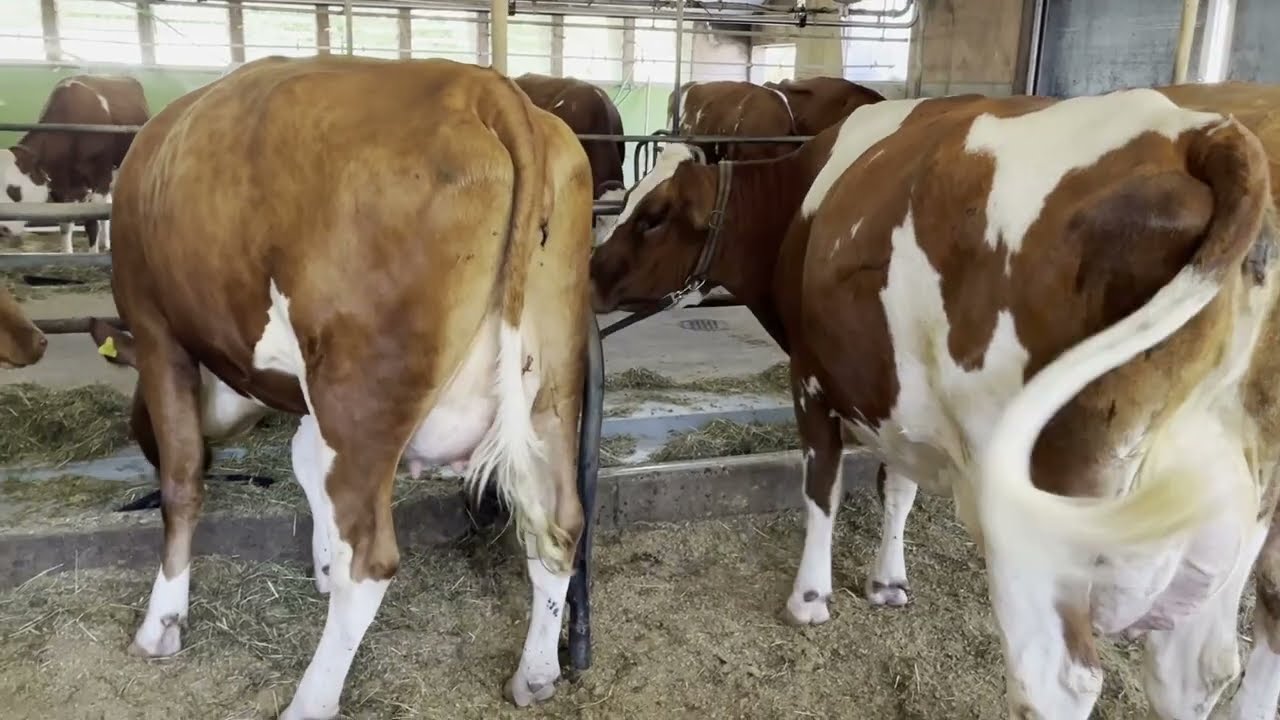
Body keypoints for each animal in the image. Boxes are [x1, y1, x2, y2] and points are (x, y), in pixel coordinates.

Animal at [0, 74, 149, 254]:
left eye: (14, 190)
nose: (2, 229)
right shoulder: (61, 187)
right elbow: (65, 222)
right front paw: (66, 253)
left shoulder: (99, 178)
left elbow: (92, 222)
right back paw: (105, 243)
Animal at [81, 54, 594, 719]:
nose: (134, 426)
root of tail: (479, 86)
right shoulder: (310, 393)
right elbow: (304, 461)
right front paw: (321, 563)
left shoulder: (157, 328)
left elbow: (183, 482)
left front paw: (161, 624)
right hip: (550, 383)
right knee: (557, 523)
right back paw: (533, 674)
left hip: (362, 388)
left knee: (371, 560)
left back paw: (311, 700)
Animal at [589, 89, 1279, 717]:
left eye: (652, 215)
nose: (589, 271)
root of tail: (1200, 133)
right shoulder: (899, 396)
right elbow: (899, 486)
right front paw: (888, 583)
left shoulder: (809, 376)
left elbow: (821, 486)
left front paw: (809, 600)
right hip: (1225, 526)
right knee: (1197, 675)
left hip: (1040, 523)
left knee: (1057, 683)